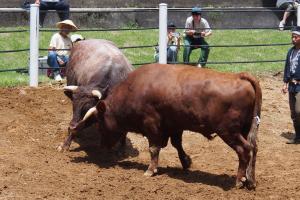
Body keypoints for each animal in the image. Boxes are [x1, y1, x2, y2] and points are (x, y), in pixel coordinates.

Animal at [78, 63, 262, 189]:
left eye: (100, 124)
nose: (103, 145)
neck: (135, 89)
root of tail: (238, 76)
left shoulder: (151, 123)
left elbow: (154, 148)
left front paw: (151, 170)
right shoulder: (174, 125)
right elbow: (177, 144)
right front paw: (186, 162)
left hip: (229, 131)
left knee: (244, 150)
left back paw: (239, 180)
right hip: (245, 129)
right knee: (253, 149)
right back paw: (250, 180)